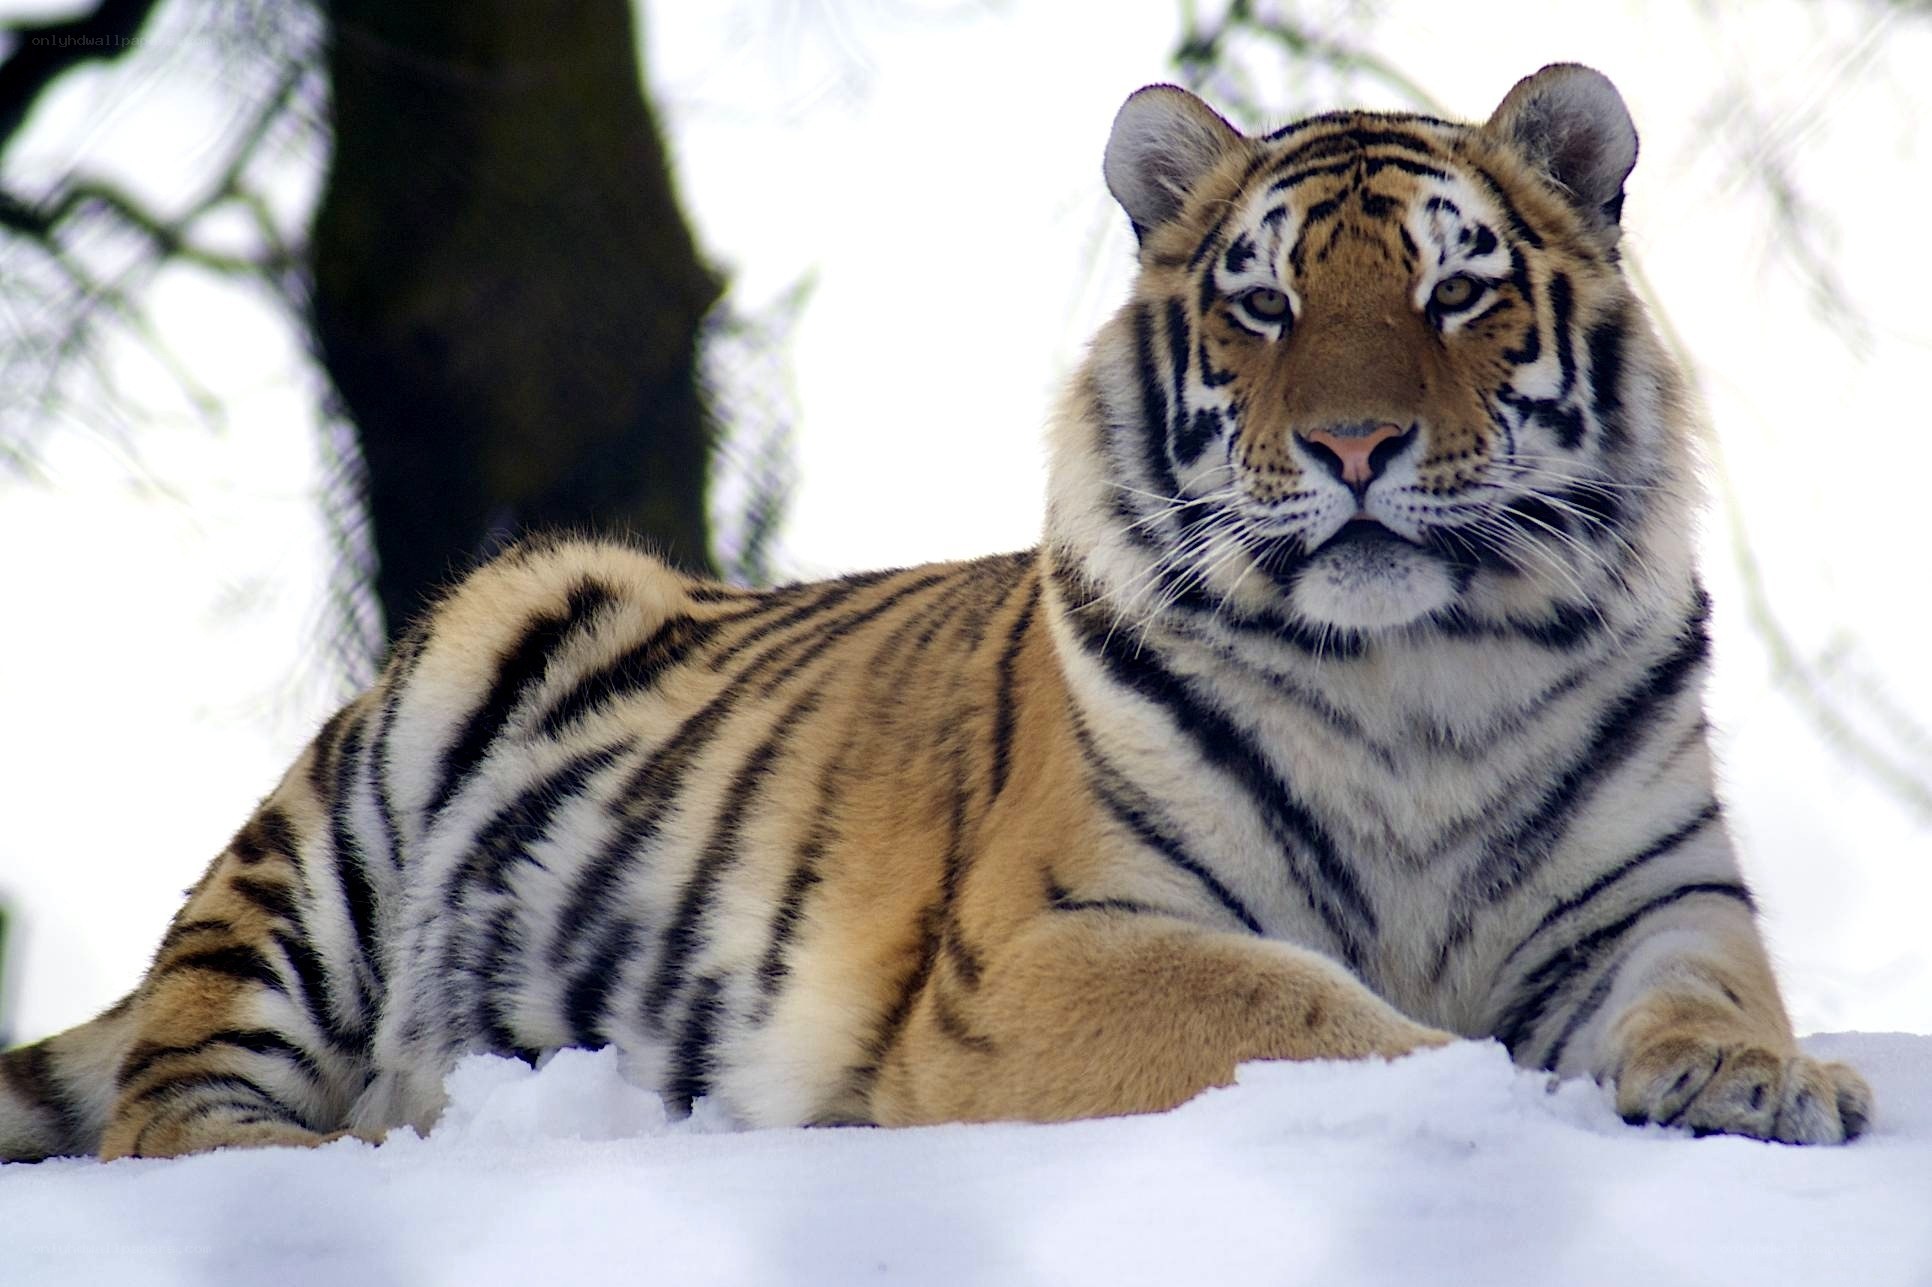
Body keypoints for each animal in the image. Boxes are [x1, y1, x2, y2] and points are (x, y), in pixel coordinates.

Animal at [0, 63, 1872, 1163]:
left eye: (1456, 291)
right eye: (1262, 305)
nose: (1353, 445)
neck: (1419, 670)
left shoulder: (1656, 895)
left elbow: (1709, 991)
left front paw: (1762, 1080)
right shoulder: (1058, 943)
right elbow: (1310, 1016)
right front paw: (1479, 1092)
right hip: (383, 777)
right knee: (175, 1109)